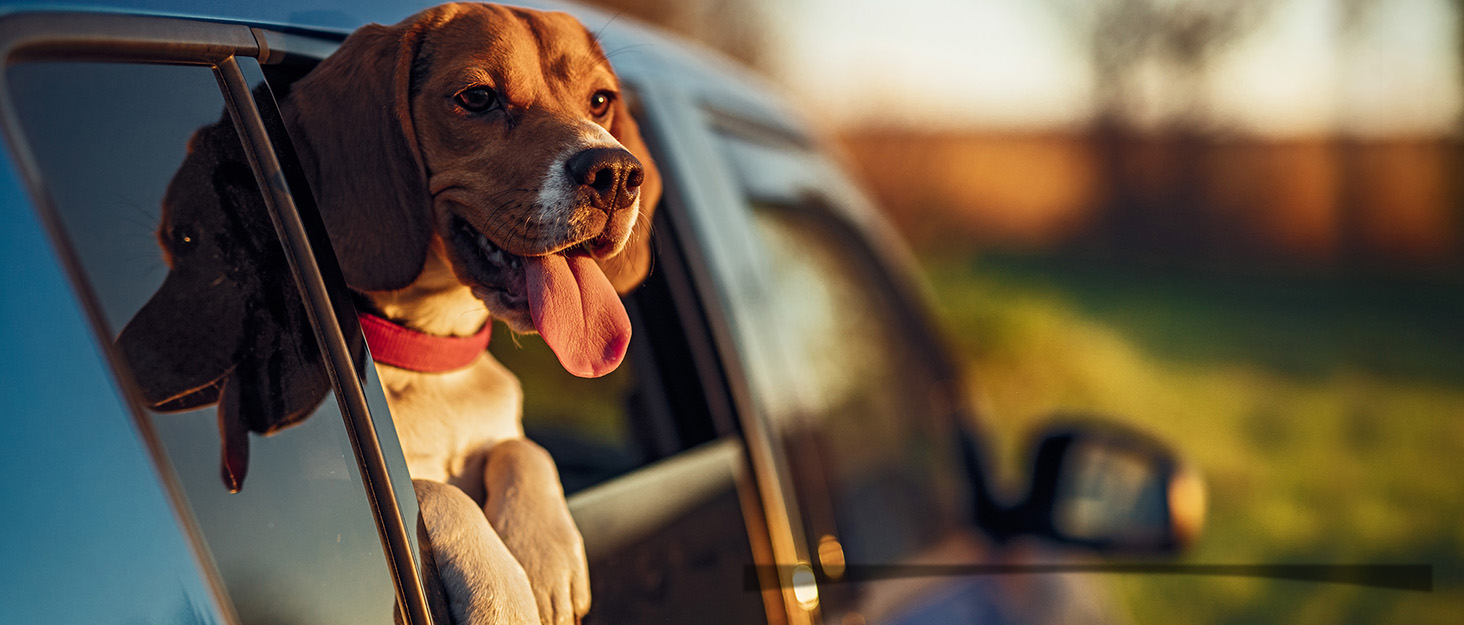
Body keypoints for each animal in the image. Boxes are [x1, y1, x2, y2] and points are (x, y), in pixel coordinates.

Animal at [282, 2, 661, 623]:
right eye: (478, 98)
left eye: (601, 100)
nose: (618, 175)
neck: (435, 356)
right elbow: (433, 488)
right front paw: (503, 592)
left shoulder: (510, 434)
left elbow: (524, 448)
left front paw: (544, 552)